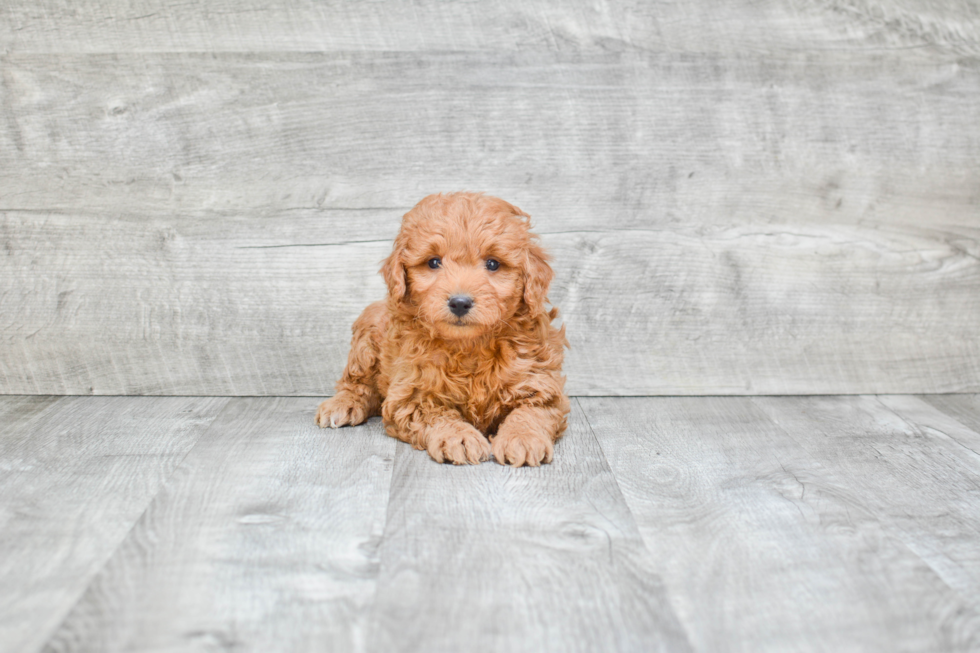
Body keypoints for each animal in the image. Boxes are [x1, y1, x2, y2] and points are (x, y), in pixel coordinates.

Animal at [318, 191, 572, 466]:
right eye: (433, 262)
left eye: (493, 264)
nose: (460, 302)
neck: (470, 347)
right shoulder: (411, 394)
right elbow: (436, 414)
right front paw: (458, 437)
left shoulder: (539, 383)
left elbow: (530, 411)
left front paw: (522, 438)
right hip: (367, 333)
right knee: (357, 383)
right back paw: (342, 405)